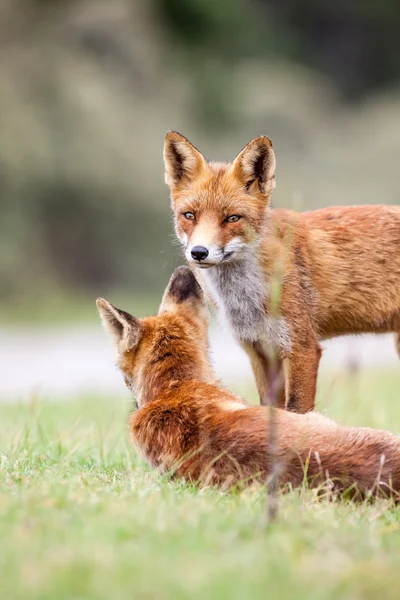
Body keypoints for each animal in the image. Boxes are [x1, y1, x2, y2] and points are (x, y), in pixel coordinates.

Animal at [162, 131, 400, 412]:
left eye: (232, 218)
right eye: (189, 215)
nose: (199, 252)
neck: (246, 297)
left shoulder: (302, 348)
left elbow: (298, 411)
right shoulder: (259, 350)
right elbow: (270, 412)